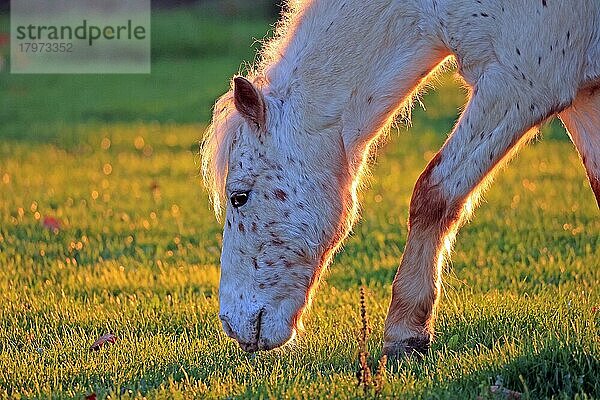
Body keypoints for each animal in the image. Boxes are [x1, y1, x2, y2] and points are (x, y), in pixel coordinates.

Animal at [203, 0, 600, 356]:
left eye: (239, 197)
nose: (230, 324)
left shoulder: (523, 82)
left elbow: (433, 193)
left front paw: (405, 333)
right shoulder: (581, 97)